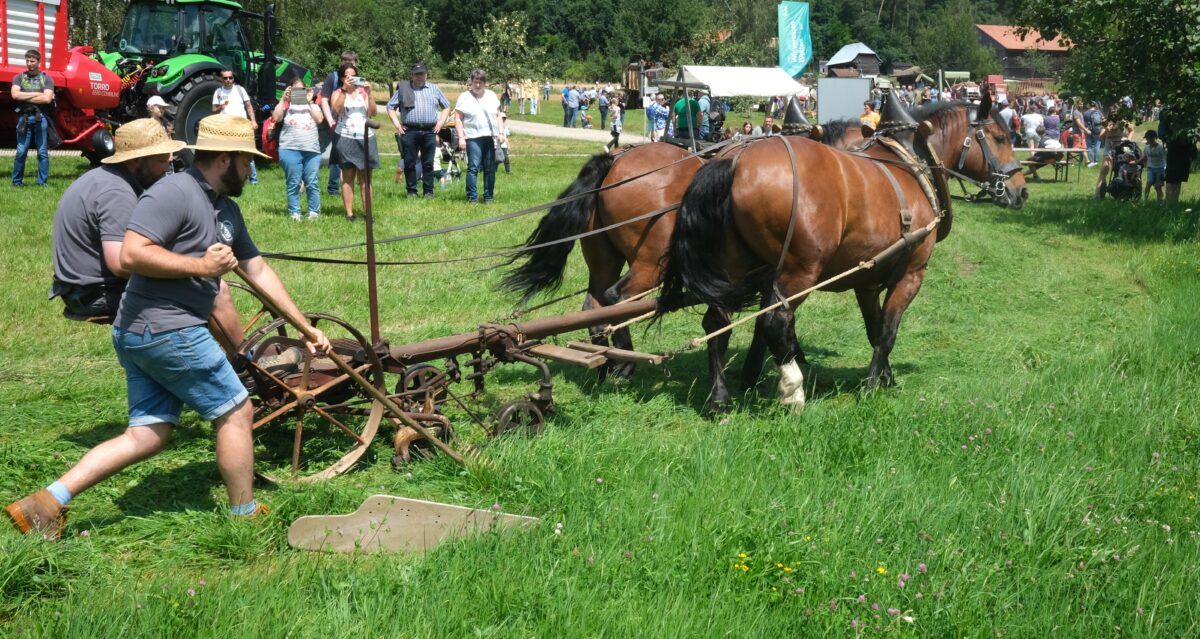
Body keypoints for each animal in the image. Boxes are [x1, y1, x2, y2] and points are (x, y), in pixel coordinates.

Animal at [500, 119, 866, 383]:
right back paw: (625, 363)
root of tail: (615, 160)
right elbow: (772, 319)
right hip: (649, 265)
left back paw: (603, 365)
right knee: (617, 299)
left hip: (603, 258)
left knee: (594, 305)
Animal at [657, 93, 1028, 413]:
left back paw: (719, 399)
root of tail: (733, 161)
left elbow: (874, 329)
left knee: (717, 322)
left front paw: (886, 377)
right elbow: (888, 332)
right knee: (775, 321)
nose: (1021, 190)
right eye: (999, 137)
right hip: (798, 272)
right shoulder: (911, 274)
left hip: (731, 266)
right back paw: (792, 391)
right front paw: (871, 385)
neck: (912, 162)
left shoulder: (867, 279)